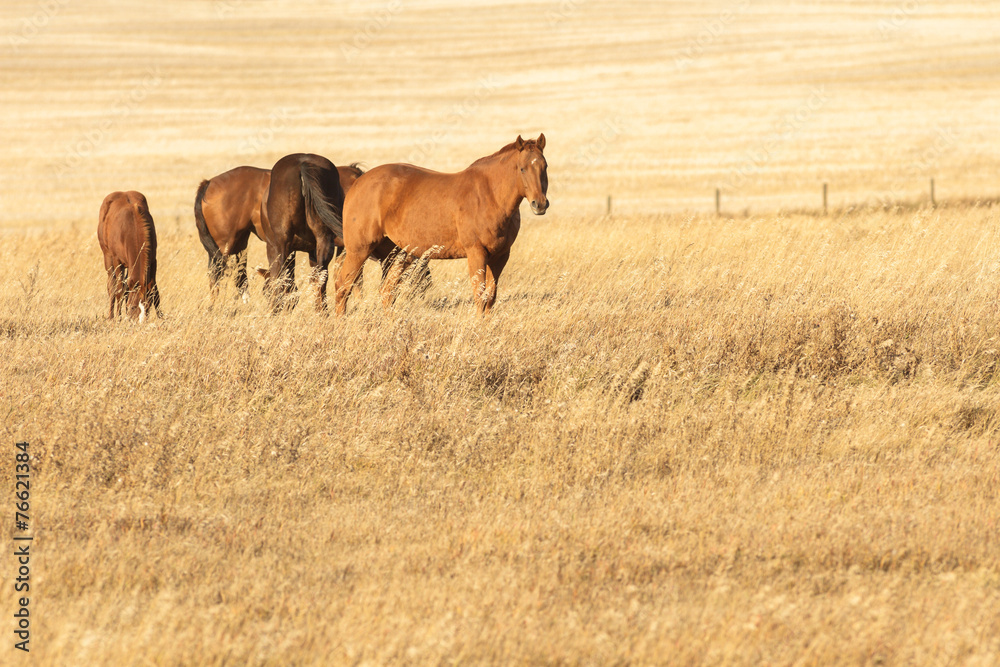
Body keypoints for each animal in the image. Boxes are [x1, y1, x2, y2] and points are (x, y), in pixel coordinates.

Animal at [97, 190, 162, 322]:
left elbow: (154, 290)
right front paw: (119, 318)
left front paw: (161, 317)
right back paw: (111, 317)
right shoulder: (117, 261)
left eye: (147, 307)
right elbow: (119, 290)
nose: (139, 322)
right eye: (132, 307)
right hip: (108, 257)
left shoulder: (153, 260)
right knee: (112, 286)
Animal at [335, 134, 548, 316]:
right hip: (359, 250)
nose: (540, 204)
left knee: (386, 292)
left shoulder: (500, 256)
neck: (490, 195)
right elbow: (480, 296)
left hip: (399, 254)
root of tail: (358, 182)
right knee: (343, 286)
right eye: (522, 168)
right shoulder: (476, 253)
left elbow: (490, 298)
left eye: (544, 167)